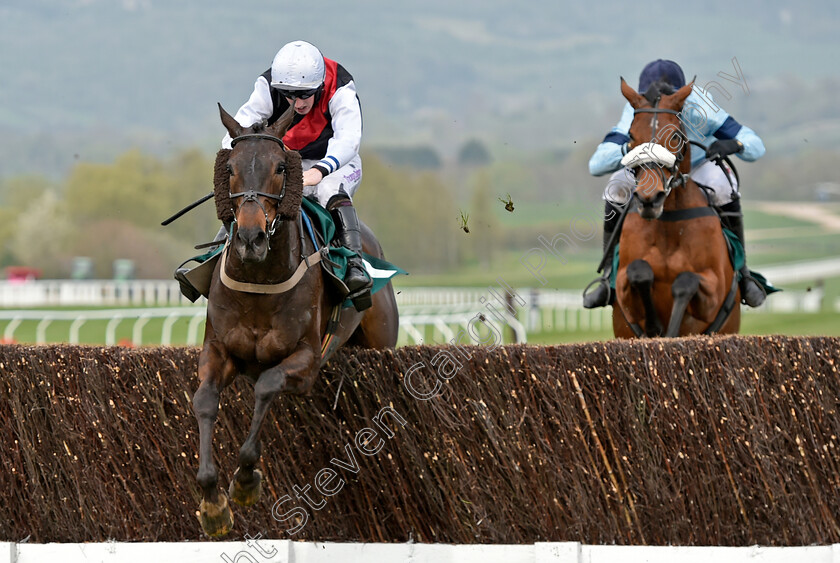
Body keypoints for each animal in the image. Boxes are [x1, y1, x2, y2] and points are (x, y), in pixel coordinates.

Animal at [195, 102, 398, 536]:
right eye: (230, 168)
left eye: (280, 168)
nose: (250, 239)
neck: (260, 280)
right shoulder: (217, 350)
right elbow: (204, 401)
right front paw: (213, 502)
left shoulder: (306, 363)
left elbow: (267, 386)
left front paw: (245, 482)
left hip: (382, 339)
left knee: (337, 191)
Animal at [612, 79, 740, 340]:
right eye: (631, 135)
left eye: (675, 136)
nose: (650, 199)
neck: (668, 224)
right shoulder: (623, 288)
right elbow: (639, 271)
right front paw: (654, 327)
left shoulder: (714, 289)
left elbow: (685, 281)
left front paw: (669, 330)